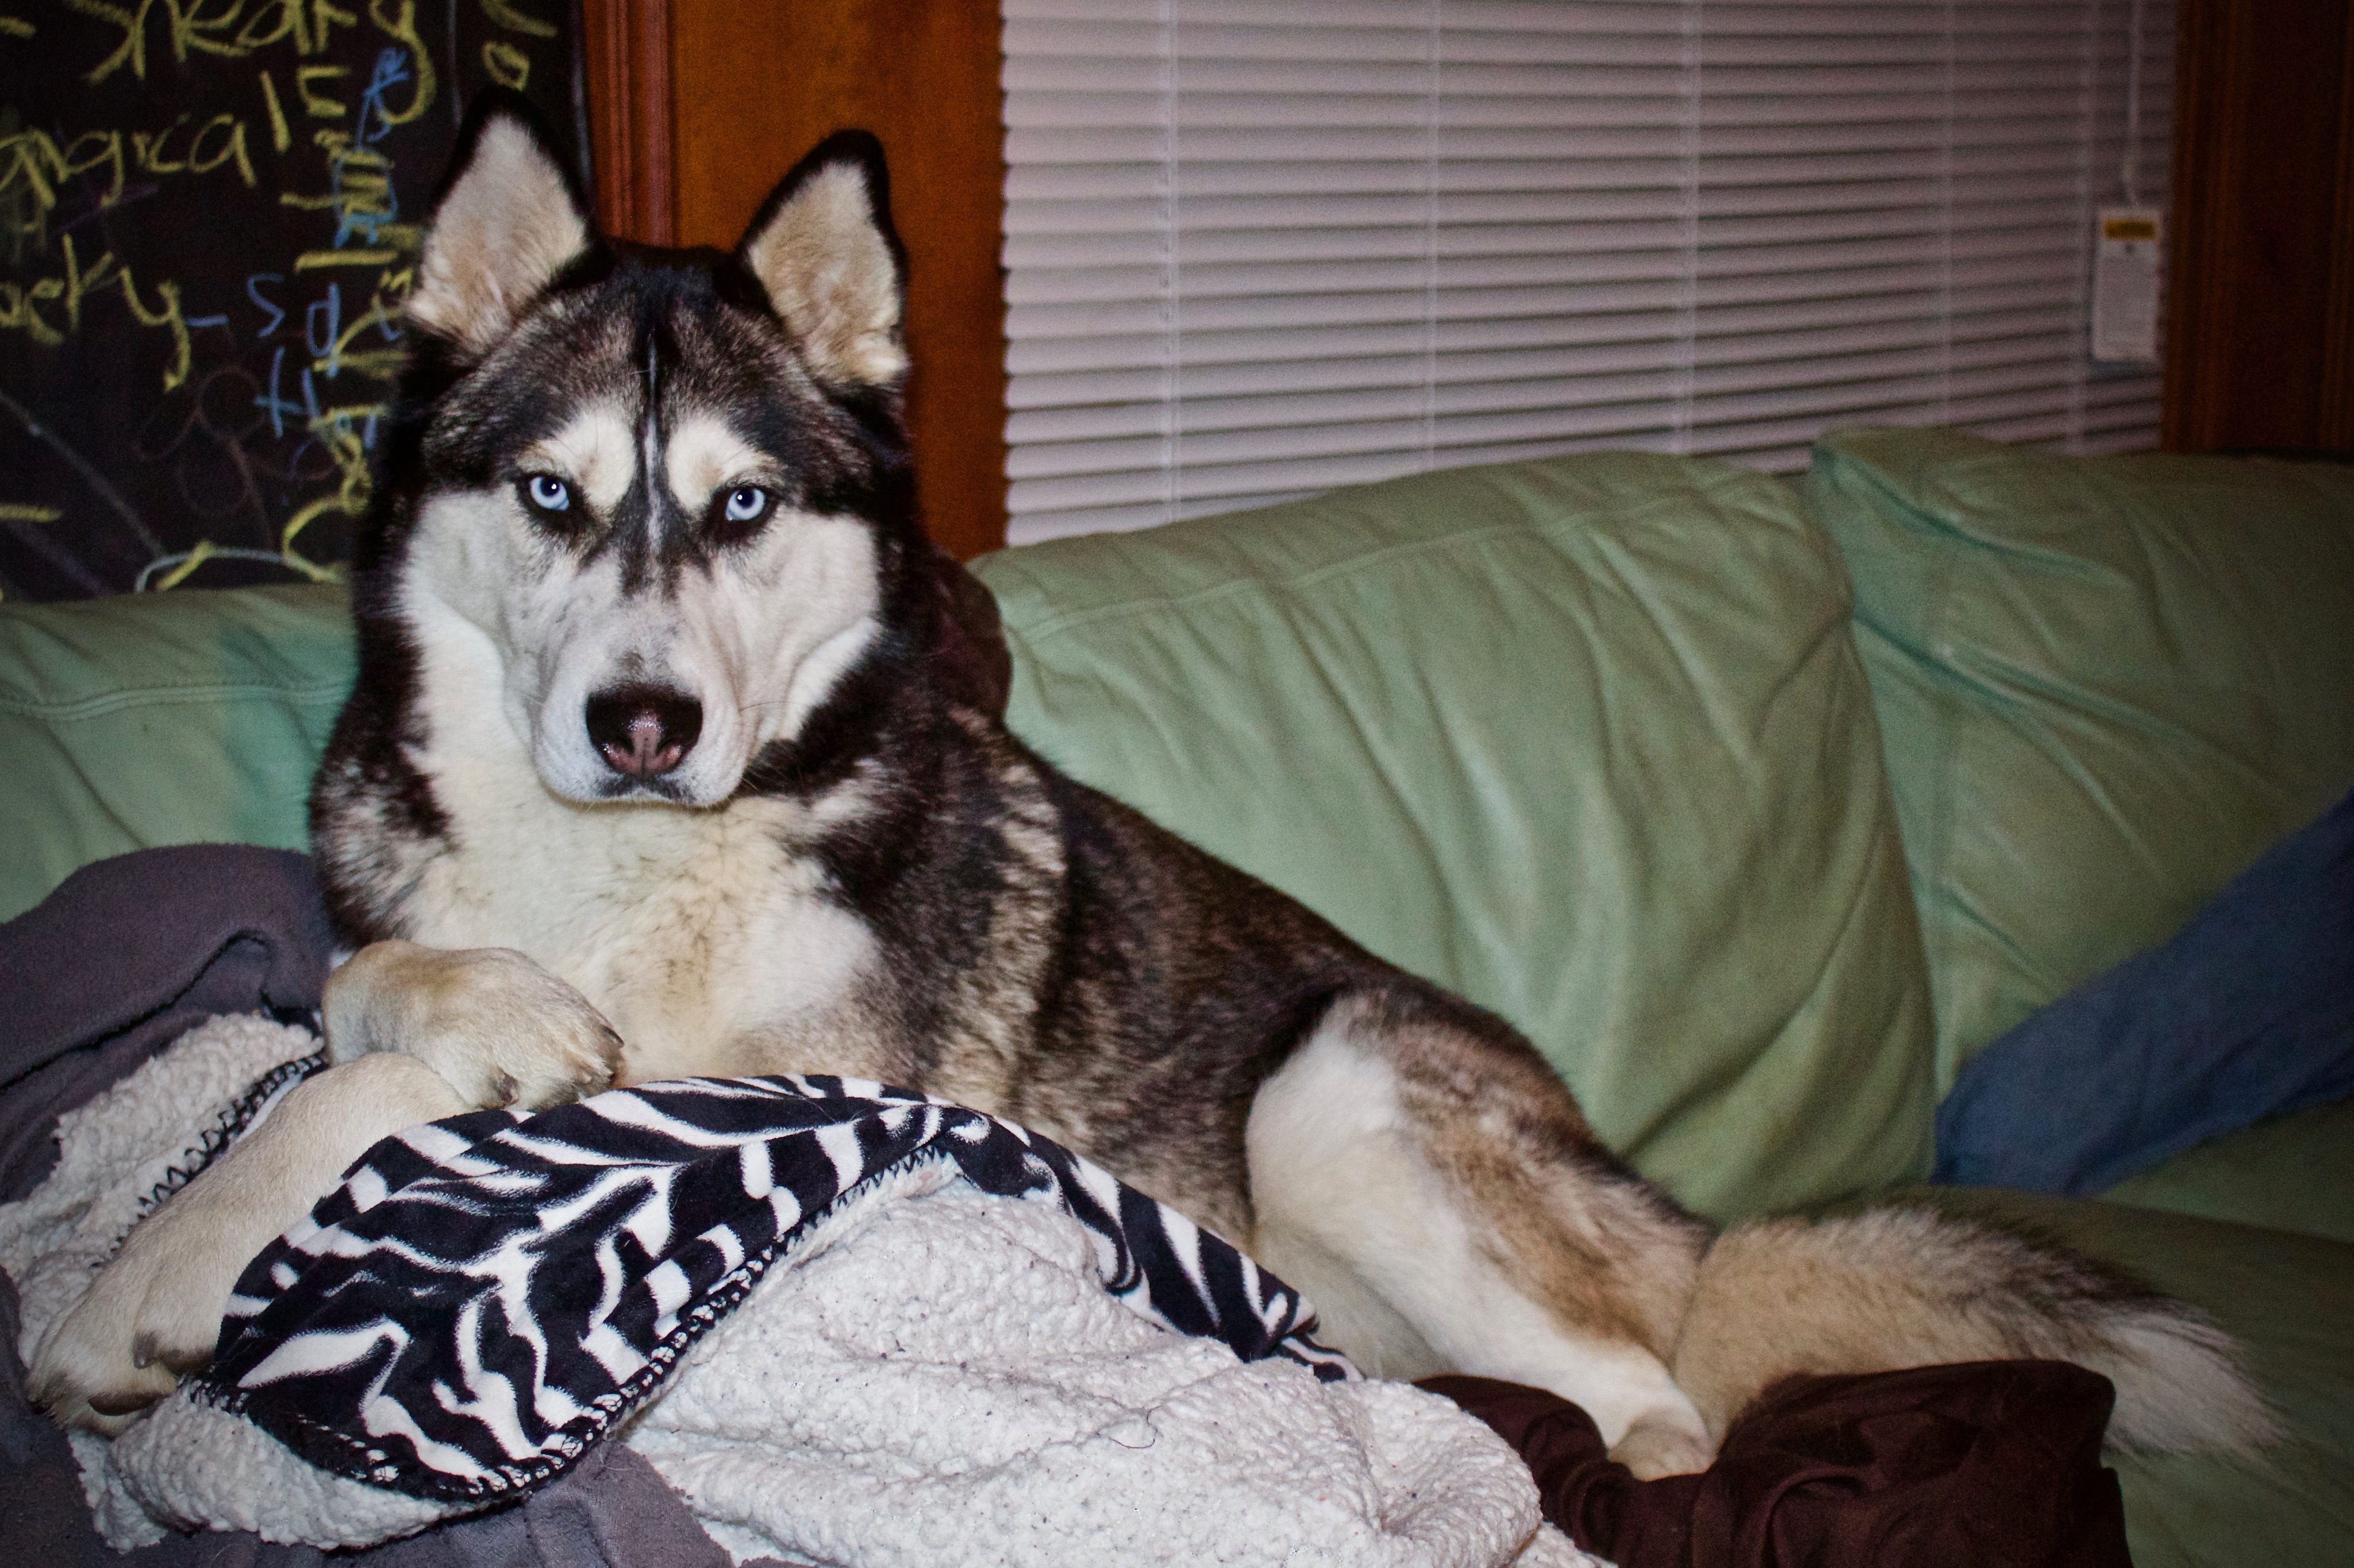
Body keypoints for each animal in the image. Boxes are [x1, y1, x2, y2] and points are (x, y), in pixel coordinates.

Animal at [22, 94, 2278, 1469]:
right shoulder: (450, 938)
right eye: (554, 497)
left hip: (1335, 1093)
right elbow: (365, 1000)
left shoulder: (800, 1086)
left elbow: (370, 1091)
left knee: (1657, 1400)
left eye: (742, 504)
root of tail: (1669, 1209)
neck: (622, 879)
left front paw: (149, 1274)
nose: (645, 726)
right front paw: (415, 1041)